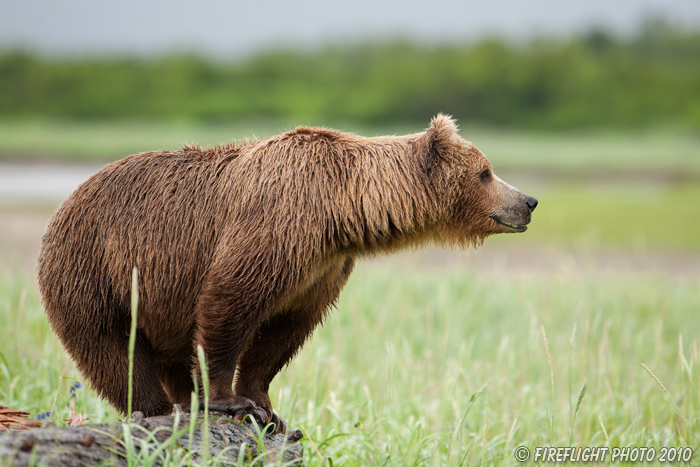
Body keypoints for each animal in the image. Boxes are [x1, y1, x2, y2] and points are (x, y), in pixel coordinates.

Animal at [37, 115, 536, 434]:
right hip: (97, 273)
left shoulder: (321, 269)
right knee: (114, 351)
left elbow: (283, 332)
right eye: (486, 171)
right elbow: (230, 303)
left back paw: (182, 400)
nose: (528, 201)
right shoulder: (278, 223)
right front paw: (231, 402)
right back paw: (164, 409)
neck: (342, 209)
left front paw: (267, 407)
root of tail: (63, 205)